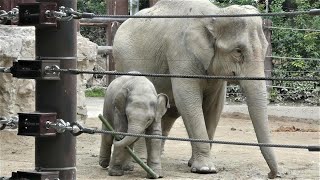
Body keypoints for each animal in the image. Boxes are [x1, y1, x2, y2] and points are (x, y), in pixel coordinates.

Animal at [112, 0, 280, 178]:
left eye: (266, 48)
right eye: (238, 51)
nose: (271, 175)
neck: (215, 15)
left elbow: (215, 106)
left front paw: (194, 164)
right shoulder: (181, 53)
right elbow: (187, 100)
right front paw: (205, 169)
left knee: (169, 112)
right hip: (124, 61)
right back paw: (141, 159)